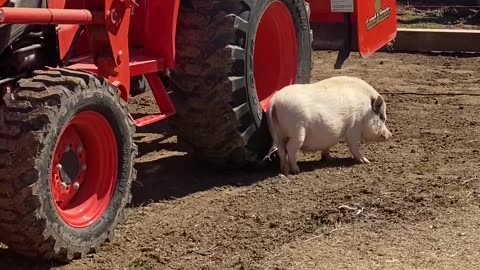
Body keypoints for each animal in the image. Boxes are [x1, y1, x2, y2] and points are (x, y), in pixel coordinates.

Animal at [264, 75, 392, 175]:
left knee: (281, 150)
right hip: (297, 132)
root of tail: (275, 101)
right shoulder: (353, 128)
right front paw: (366, 161)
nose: (390, 135)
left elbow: (327, 145)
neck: (365, 111)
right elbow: (354, 146)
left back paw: (284, 171)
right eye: (382, 118)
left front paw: (329, 159)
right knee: (290, 149)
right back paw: (296, 170)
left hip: (277, 133)